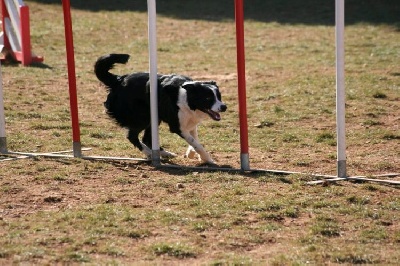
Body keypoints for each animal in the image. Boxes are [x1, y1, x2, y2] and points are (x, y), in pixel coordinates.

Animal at [92, 53, 227, 164]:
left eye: (219, 96)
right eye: (208, 98)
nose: (224, 107)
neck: (186, 97)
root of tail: (118, 80)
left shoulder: (191, 122)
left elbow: (195, 139)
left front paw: (192, 153)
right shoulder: (177, 126)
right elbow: (196, 143)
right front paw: (207, 159)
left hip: (154, 118)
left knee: (146, 138)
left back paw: (165, 153)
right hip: (143, 117)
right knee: (132, 136)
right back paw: (150, 154)